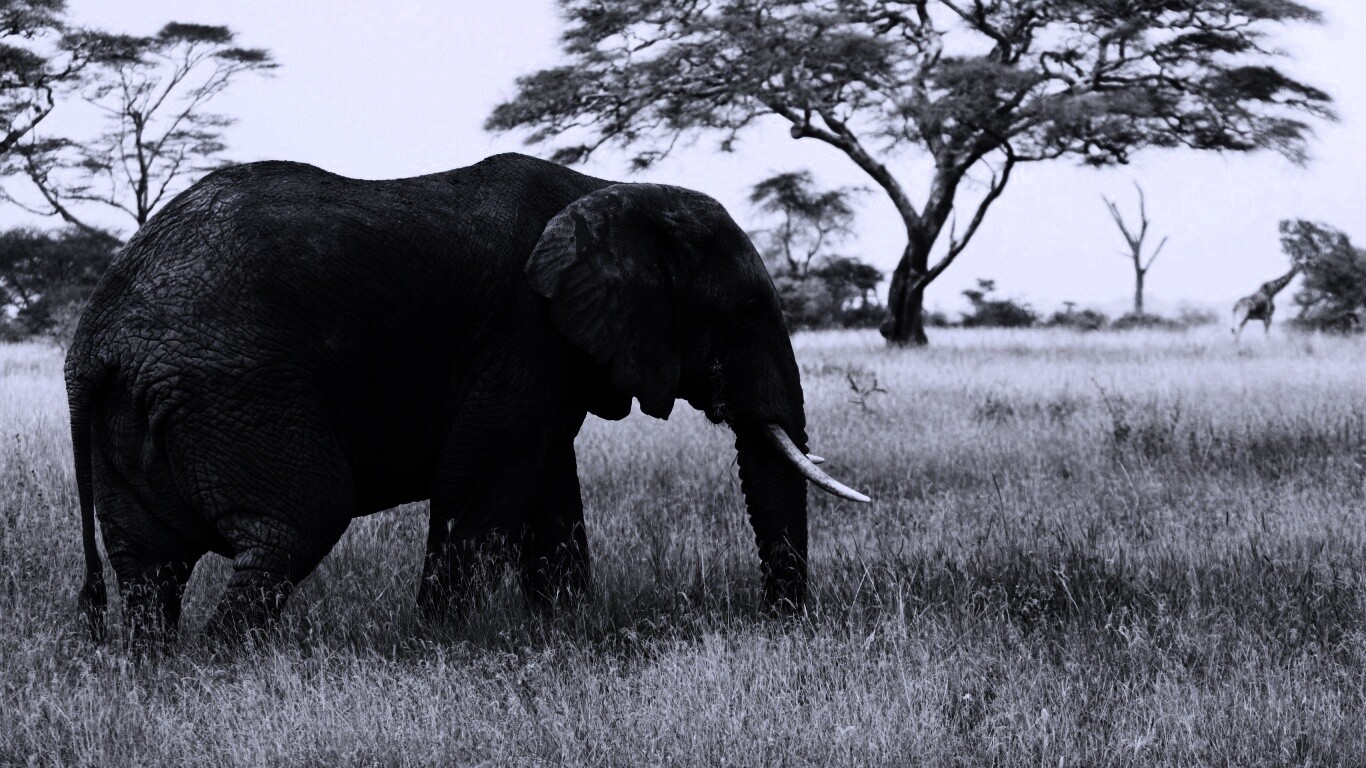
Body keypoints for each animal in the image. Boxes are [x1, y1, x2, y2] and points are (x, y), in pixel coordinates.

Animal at [66, 152, 868, 643]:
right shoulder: (524, 333)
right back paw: (224, 668)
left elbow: (548, 489)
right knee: (293, 526)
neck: (610, 191)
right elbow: (481, 482)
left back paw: (159, 670)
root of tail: (94, 335)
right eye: (742, 313)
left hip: (141, 414)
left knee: (148, 565)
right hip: (235, 391)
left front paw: (566, 632)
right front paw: (441, 644)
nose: (782, 623)